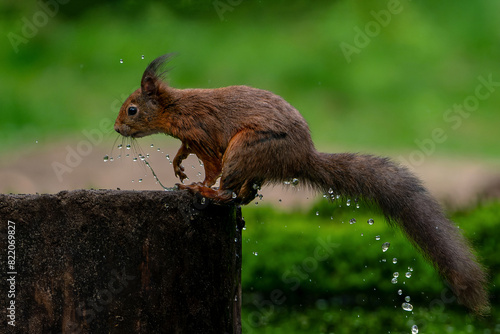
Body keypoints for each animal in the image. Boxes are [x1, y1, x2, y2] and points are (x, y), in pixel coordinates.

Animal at [113, 53, 488, 314]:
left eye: (132, 110)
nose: (117, 128)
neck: (176, 108)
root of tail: (301, 158)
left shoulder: (203, 134)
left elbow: (210, 165)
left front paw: (195, 183)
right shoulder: (192, 139)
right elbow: (184, 151)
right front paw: (177, 165)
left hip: (246, 148)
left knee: (230, 189)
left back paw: (209, 193)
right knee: (245, 193)